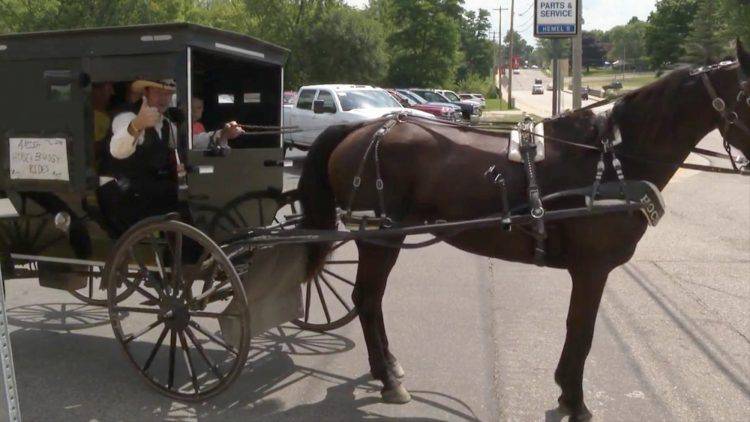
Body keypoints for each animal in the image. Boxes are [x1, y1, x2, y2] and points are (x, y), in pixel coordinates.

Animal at [296, 41, 748, 420]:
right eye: (747, 94)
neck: (610, 163)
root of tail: (362, 129)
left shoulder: (590, 270)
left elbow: (578, 330)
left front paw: (567, 392)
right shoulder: (592, 268)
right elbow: (581, 331)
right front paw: (574, 400)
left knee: (369, 299)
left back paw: (387, 368)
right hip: (381, 234)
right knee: (367, 298)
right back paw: (388, 379)